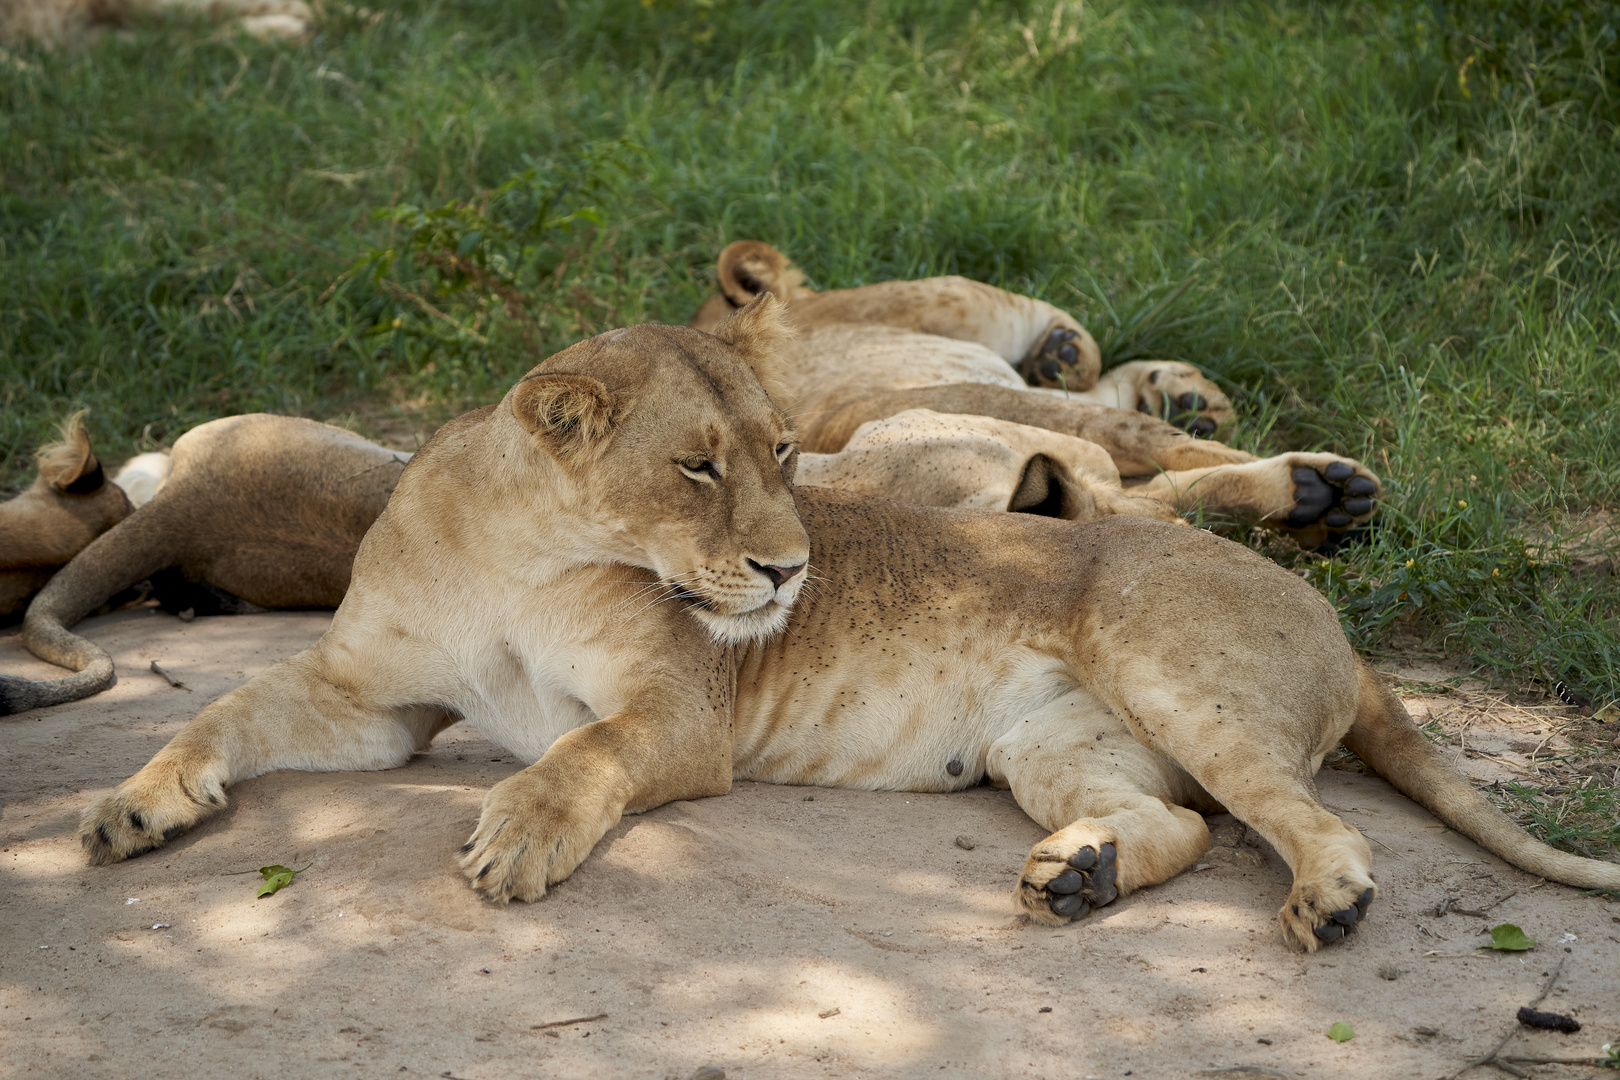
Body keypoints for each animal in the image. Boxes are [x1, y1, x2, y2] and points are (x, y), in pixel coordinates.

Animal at [76, 299, 1620, 952]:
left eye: (780, 451)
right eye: (698, 466)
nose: (786, 571)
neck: (520, 551)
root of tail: (1336, 625)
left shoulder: (682, 717)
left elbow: (576, 757)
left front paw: (517, 836)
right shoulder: (373, 702)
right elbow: (223, 712)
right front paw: (132, 810)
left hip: (1162, 661)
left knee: (1308, 820)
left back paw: (1328, 900)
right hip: (1055, 743)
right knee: (1176, 824)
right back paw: (1078, 875)